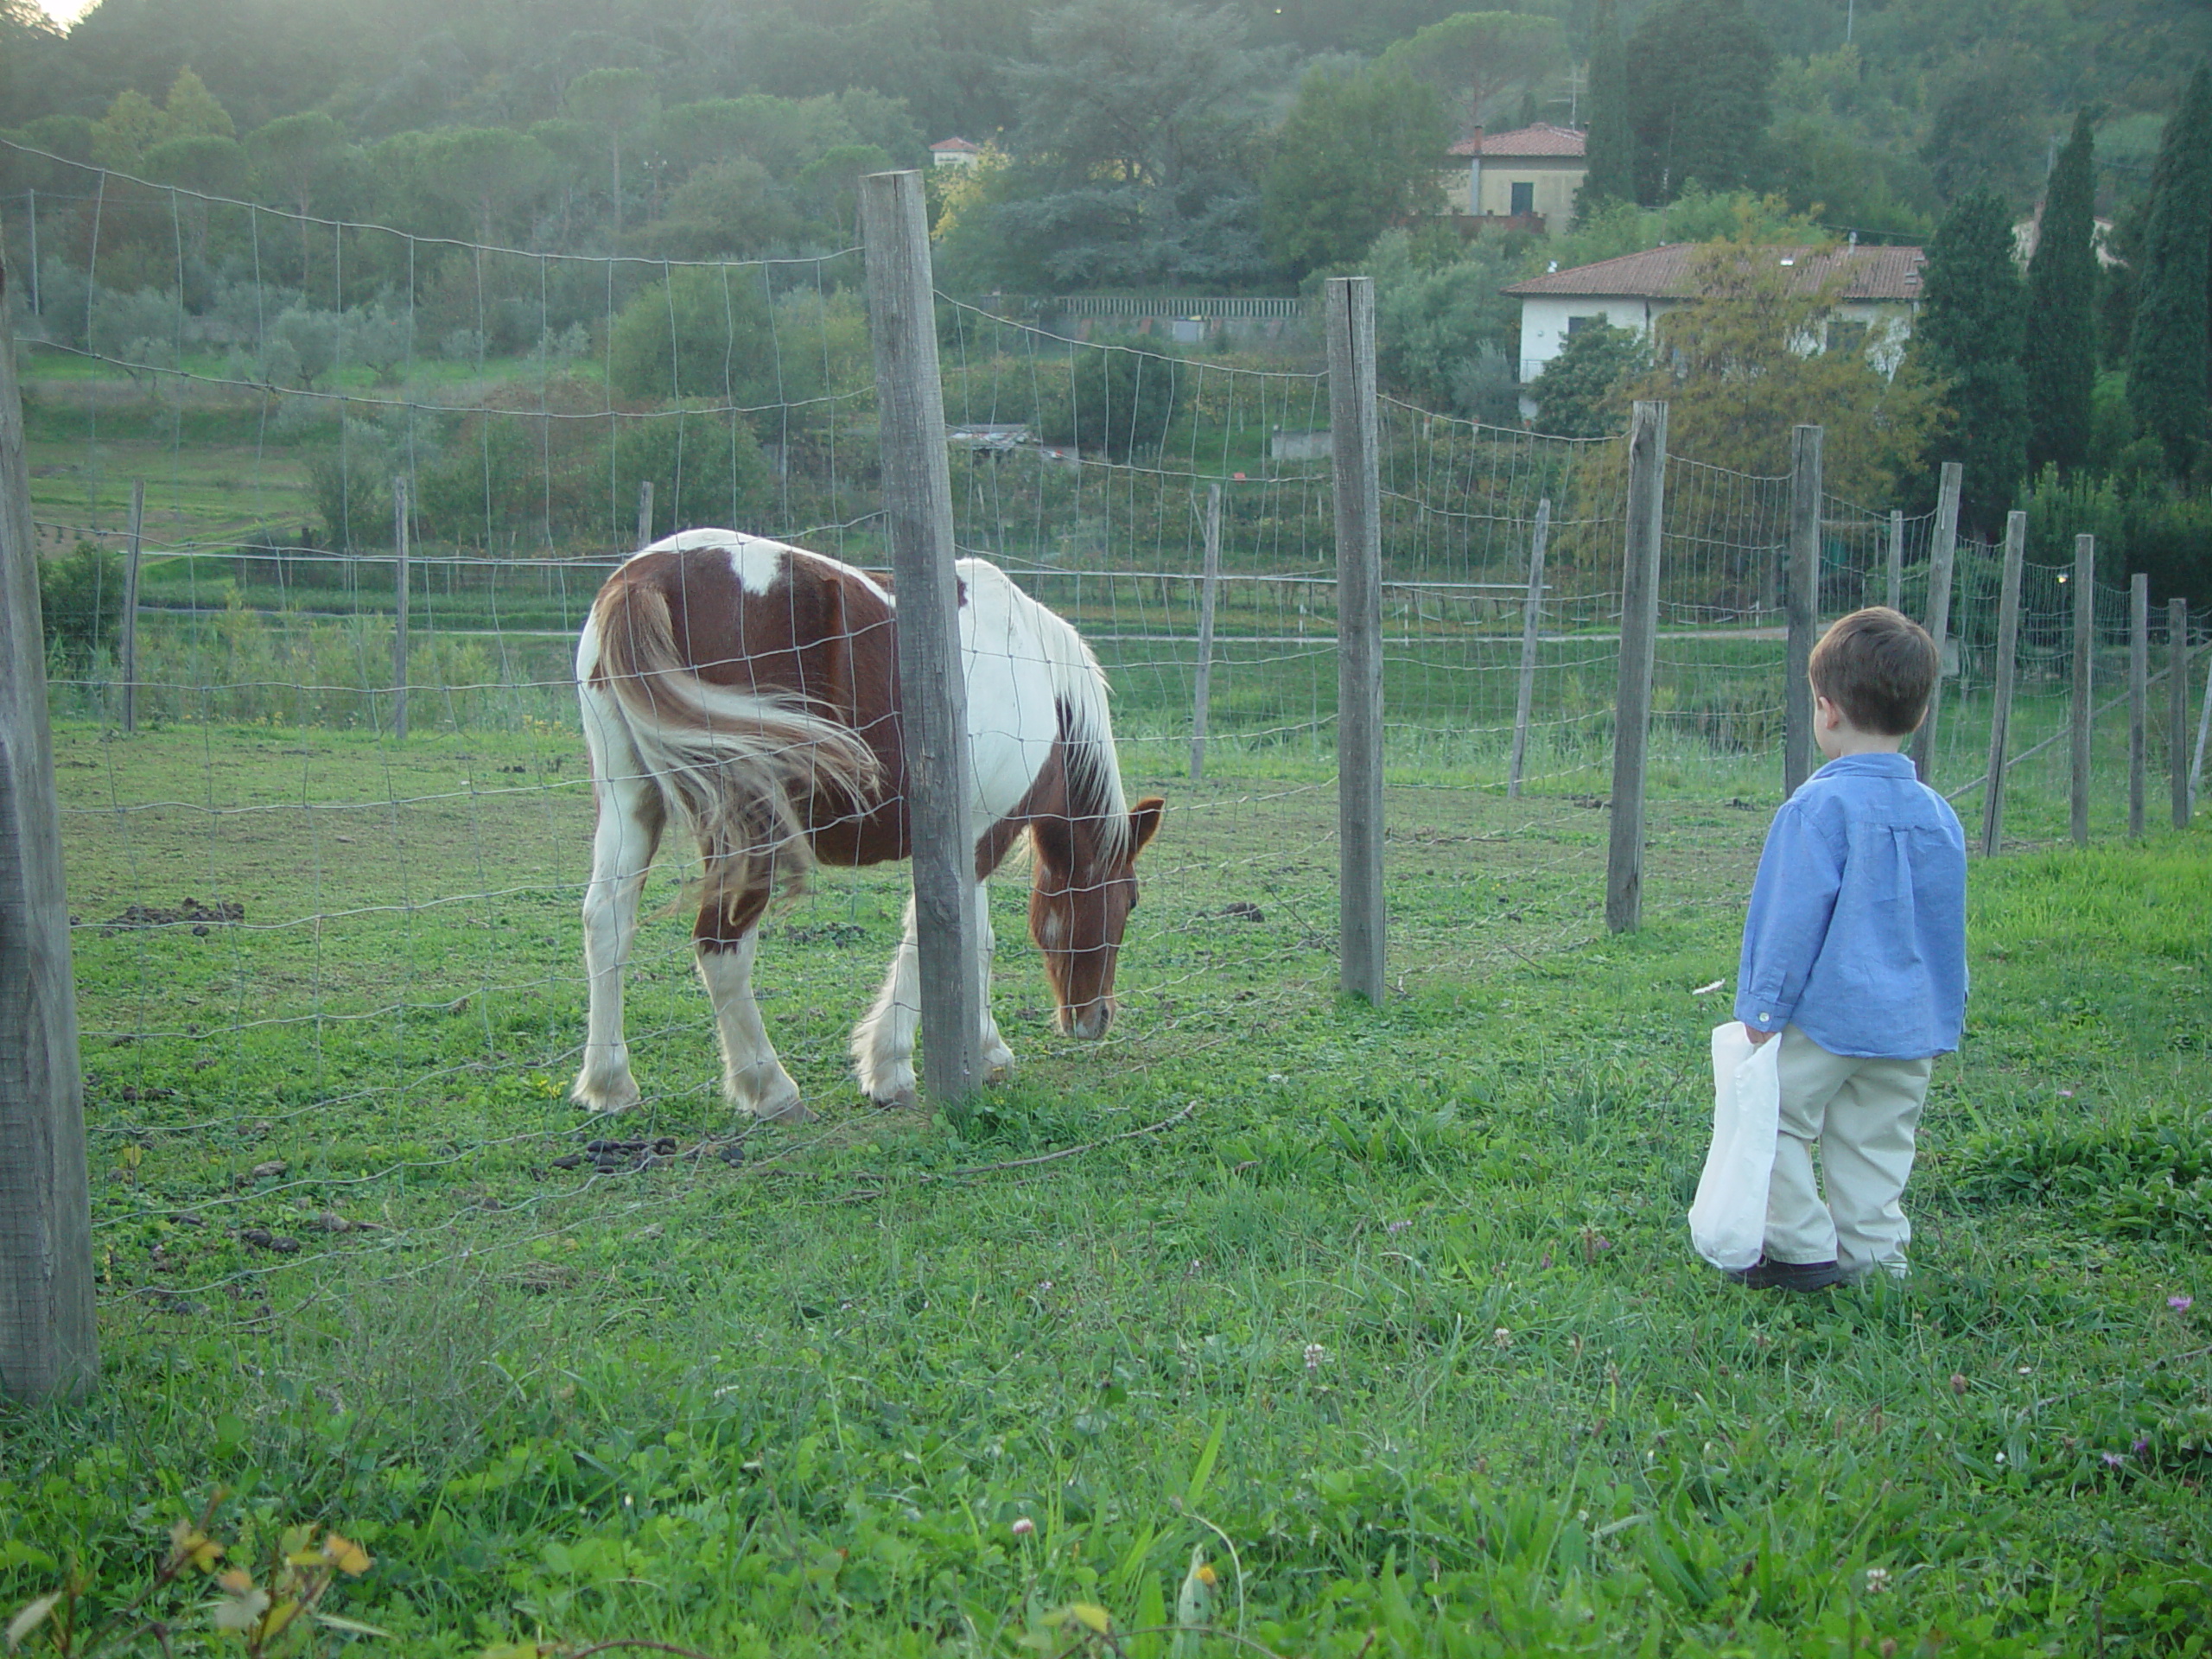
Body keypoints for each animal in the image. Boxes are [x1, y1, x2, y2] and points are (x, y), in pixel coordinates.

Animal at [570, 528, 1167, 1132]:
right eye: (1131, 900)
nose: (1098, 1018)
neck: (1039, 678)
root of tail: (646, 577)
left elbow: (972, 941)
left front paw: (984, 1051)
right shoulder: (978, 840)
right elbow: (952, 941)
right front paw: (894, 1070)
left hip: (630, 801)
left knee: (607, 924)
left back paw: (610, 1085)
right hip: (746, 829)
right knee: (720, 944)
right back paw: (770, 1089)